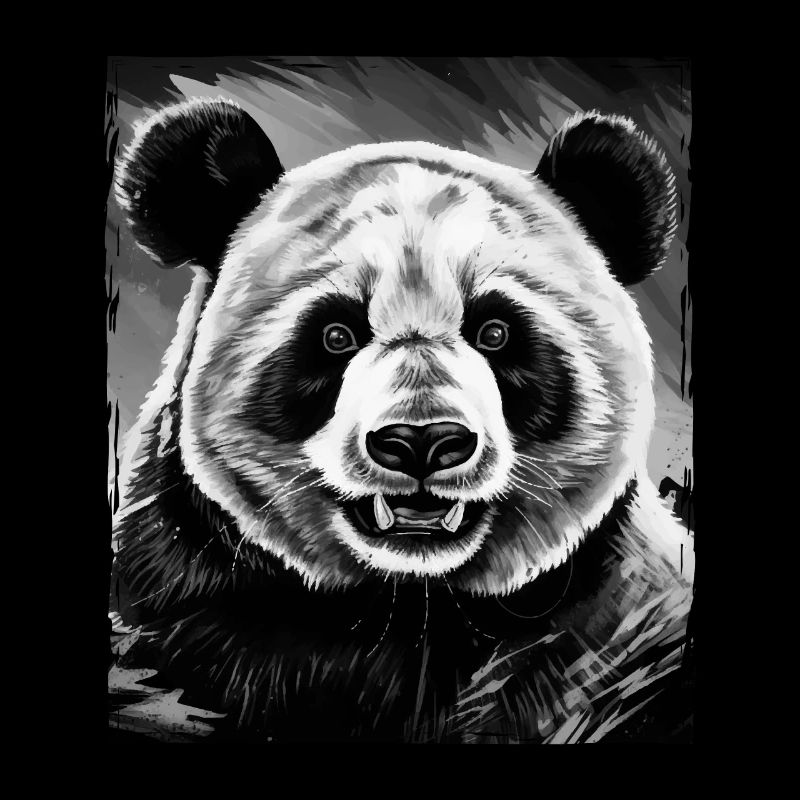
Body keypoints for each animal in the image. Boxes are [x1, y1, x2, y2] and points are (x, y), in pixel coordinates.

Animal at [111, 97, 695, 743]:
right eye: (336, 335)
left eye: (496, 332)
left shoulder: (623, 636)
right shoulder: (184, 608)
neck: (409, 610)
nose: (422, 441)